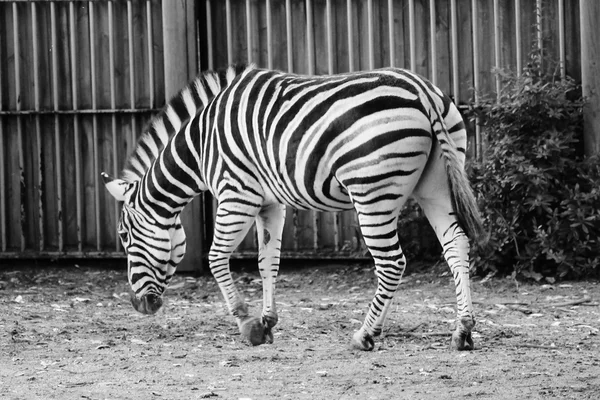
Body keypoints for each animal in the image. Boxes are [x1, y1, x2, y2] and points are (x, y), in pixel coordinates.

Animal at [104, 65, 488, 350]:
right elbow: (267, 262)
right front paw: (267, 322)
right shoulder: (270, 203)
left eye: (124, 237)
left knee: (392, 263)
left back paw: (365, 335)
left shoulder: (236, 193)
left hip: (372, 192)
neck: (200, 147)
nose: (138, 306)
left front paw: (247, 323)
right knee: (456, 244)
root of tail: (421, 89)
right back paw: (463, 331)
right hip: (435, 185)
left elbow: (216, 257)